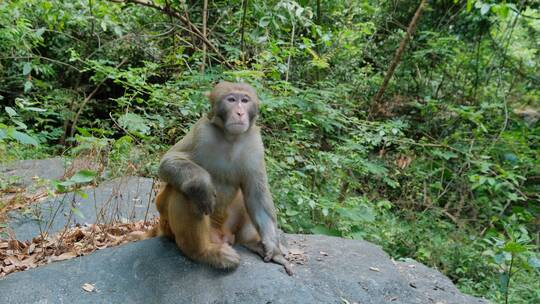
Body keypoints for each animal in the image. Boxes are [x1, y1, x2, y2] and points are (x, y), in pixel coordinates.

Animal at [154, 82, 294, 274]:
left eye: (245, 100)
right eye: (231, 100)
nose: (240, 112)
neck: (230, 138)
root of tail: (220, 235)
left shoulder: (254, 143)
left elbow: (256, 195)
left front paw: (273, 249)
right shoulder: (202, 131)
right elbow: (168, 161)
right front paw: (202, 184)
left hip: (229, 226)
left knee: (246, 196)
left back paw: (251, 242)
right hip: (170, 227)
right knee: (185, 192)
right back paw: (204, 252)